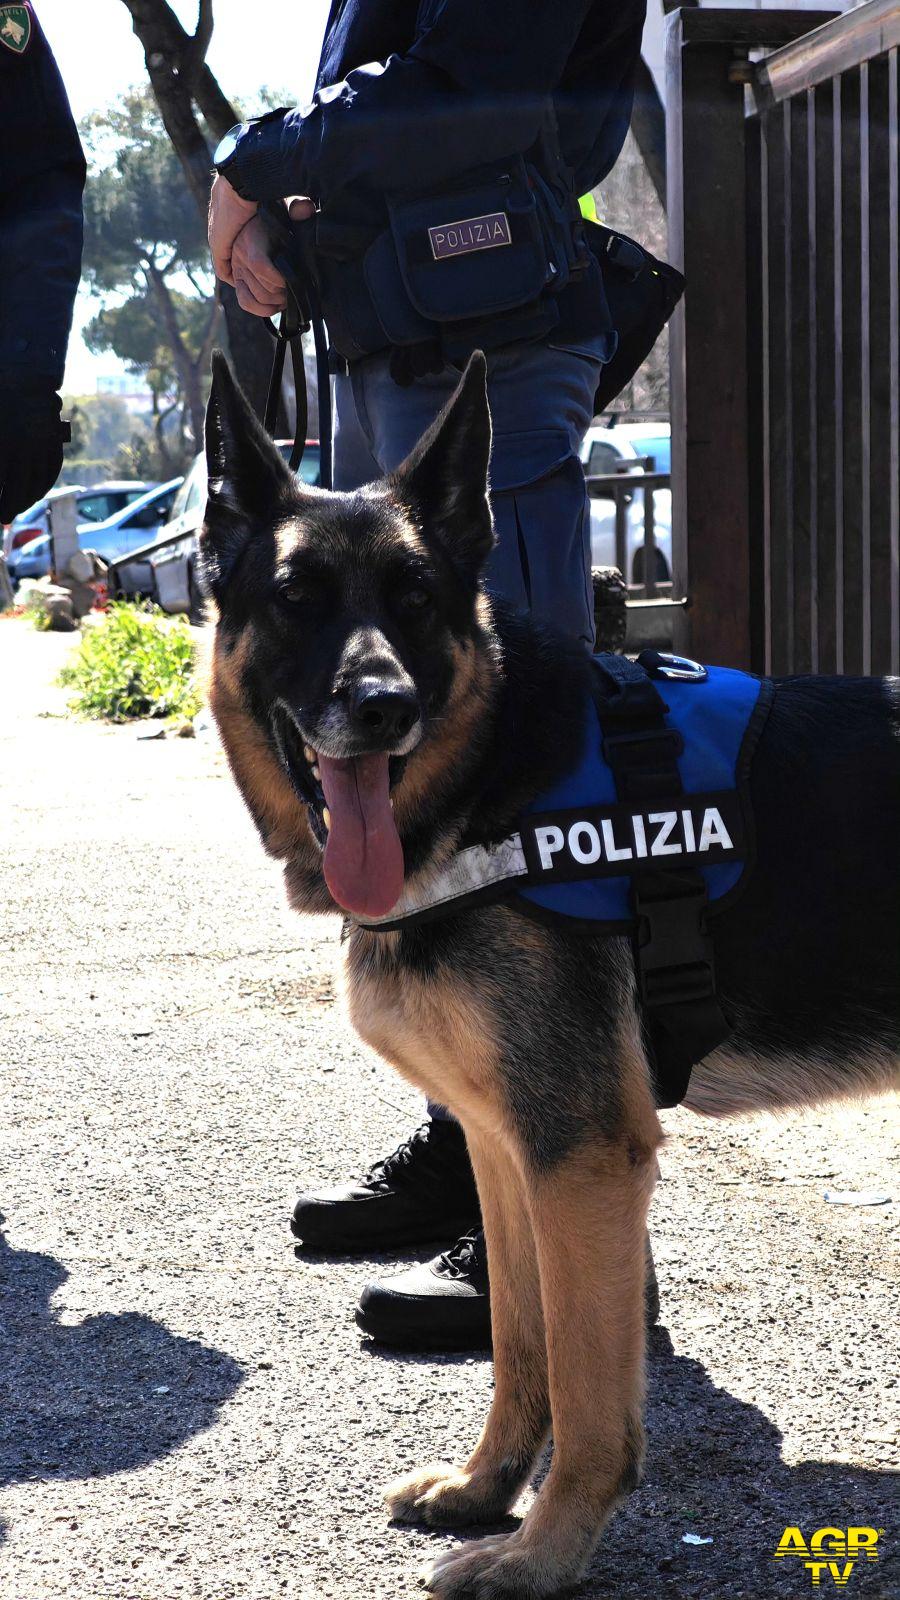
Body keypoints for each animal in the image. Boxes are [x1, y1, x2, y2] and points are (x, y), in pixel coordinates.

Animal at [199, 349, 899, 1599]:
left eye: (416, 597)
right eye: (296, 596)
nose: (383, 707)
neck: (490, 780)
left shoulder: (580, 1156)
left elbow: (582, 1379)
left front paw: (547, 1549)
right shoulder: (503, 1143)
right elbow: (518, 1345)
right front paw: (487, 1489)